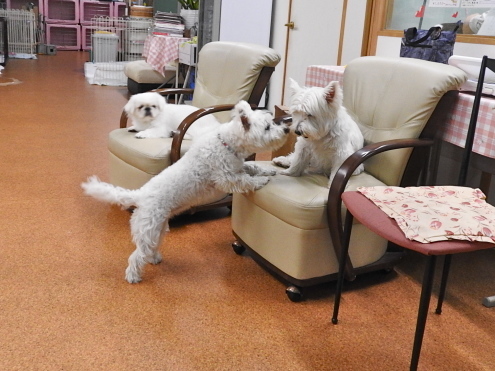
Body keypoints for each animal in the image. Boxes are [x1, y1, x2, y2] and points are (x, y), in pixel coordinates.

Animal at [81, 100, 290, 284]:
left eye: (271, 122)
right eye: (267, 127)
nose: (287, 129)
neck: (226, 143)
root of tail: (139, 194)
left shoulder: (238, 168)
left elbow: (252, 167)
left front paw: (269, 171)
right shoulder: (226, 177)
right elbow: (246, 180)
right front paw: (261, 181)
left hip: (159, 228)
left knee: (150, 249)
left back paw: (154, 258)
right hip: (148, 230)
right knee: (136, 256)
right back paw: (133, 276)